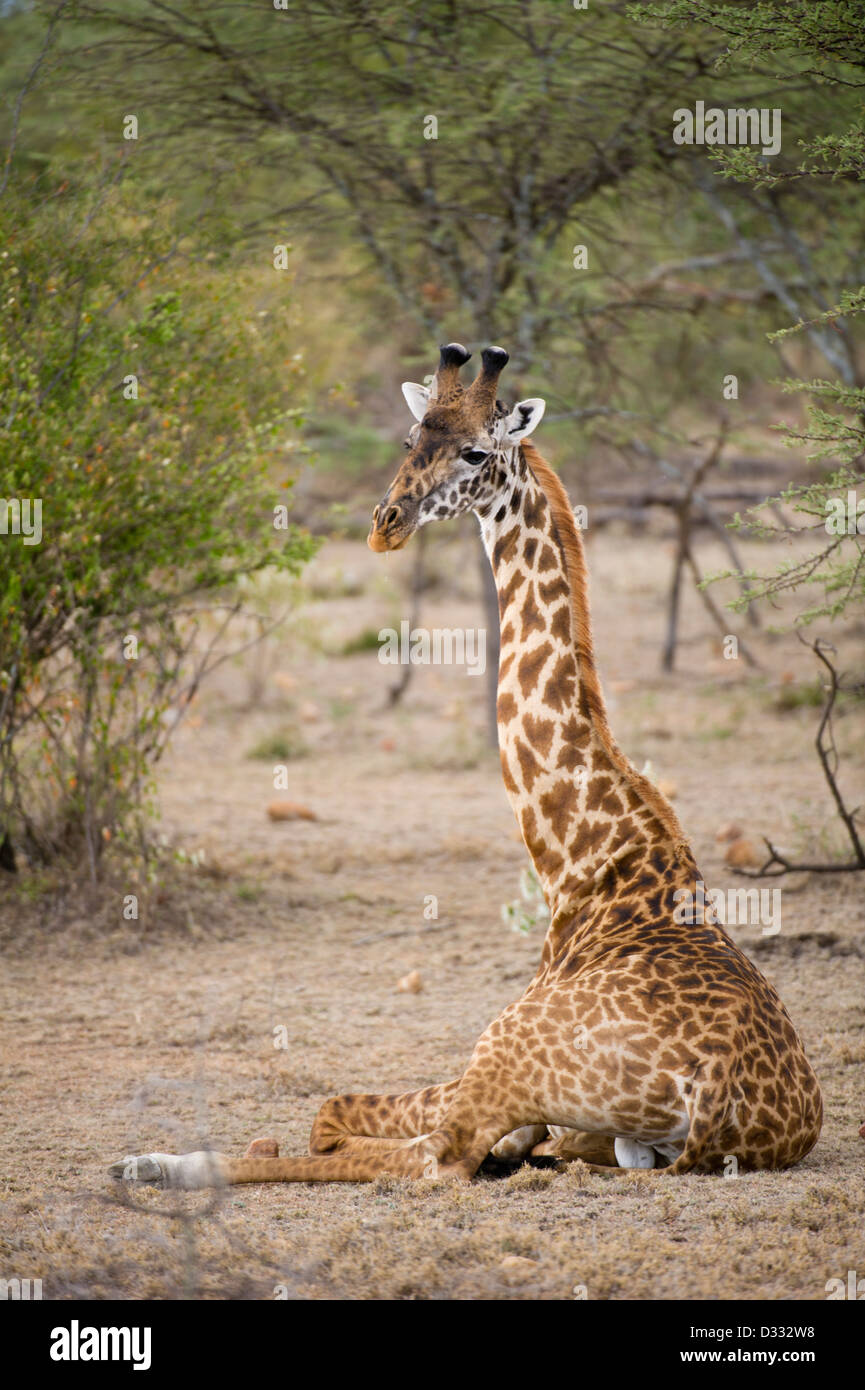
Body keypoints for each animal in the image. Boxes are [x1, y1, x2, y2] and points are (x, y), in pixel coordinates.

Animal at [111, 341, 823, 1189]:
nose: (385, 526)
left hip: (503, 1051)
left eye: (476, 451)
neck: (585, 860)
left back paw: (152, 1164)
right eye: (410, 437)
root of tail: (720, 1101)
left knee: (423, 1153)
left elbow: (335, 1119)